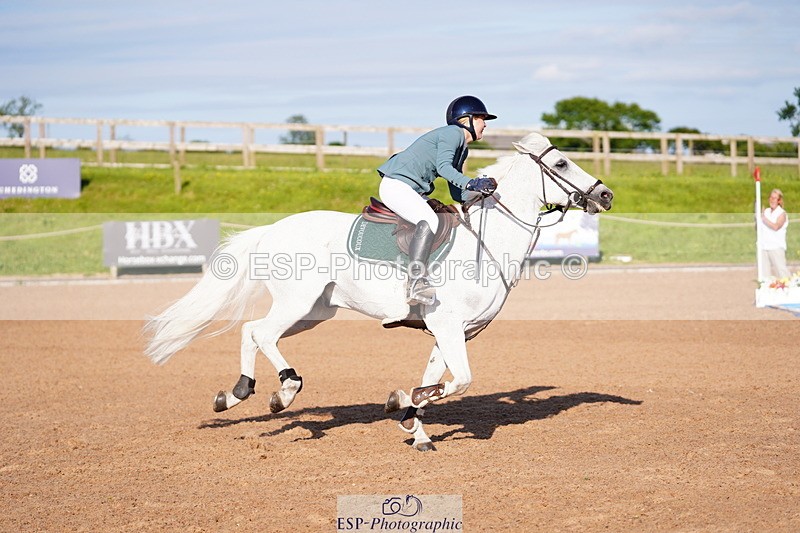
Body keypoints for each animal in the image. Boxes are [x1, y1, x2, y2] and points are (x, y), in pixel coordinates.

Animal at [144, 132, 614, 451]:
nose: (606, 196)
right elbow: (458, 381)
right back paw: (285, 391)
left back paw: (236, 393)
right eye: (564, 164)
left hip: (314, 312)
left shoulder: (450, 330)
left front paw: (415, 428)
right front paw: (399, 402)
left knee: (251, 331)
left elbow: (434, 381)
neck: (488, 241)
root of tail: (273, 228)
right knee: (262, 334)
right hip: (298, 302)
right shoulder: (447, 325)